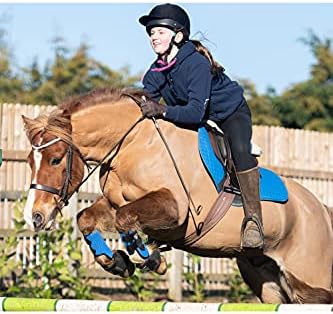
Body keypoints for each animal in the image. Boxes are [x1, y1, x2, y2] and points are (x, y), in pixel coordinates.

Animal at [22, 87, 332, 302]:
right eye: (29, 161)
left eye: (55, 159)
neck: (132, 144)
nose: (35, 217)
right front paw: (115, 262)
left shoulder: (176, 210)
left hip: (310, 284)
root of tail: (321, 210)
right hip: (264, 278)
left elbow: (125, 219)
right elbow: (88, 218)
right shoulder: (115, 203)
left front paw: (151, 258)